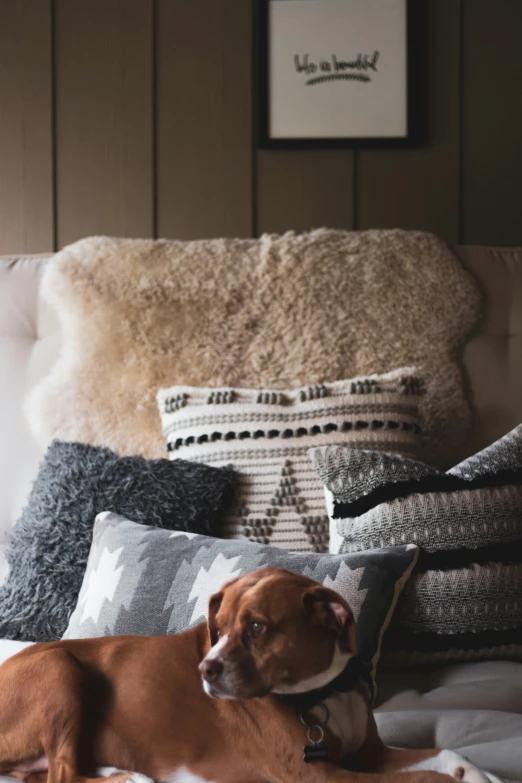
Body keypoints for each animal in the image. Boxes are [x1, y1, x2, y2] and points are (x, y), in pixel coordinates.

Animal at [0, 568, 500, 783]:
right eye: (217, 629)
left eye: (257, 627)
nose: (204, 669)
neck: (323, 692)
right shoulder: (322, 779)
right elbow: (425, 779)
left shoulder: (371, 755)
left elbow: (444, 754)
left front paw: (477, 774)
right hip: (60, 668)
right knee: (62, 776)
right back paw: (131, 778)